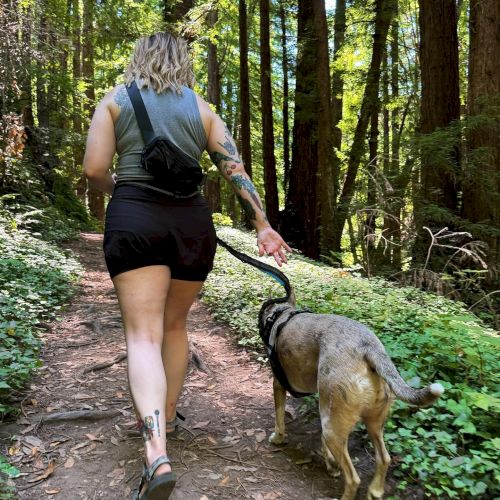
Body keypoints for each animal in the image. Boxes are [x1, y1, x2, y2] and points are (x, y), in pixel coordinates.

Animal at [260, 292, 444, 498]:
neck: (282, 314)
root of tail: (369, 348)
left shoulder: (278, 385)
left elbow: (279, 419)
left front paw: (277, 439)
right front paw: (331, 464)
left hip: (333, 427)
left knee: (353, 479)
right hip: (372, 422)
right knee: (384, 458)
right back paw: (374, 491)